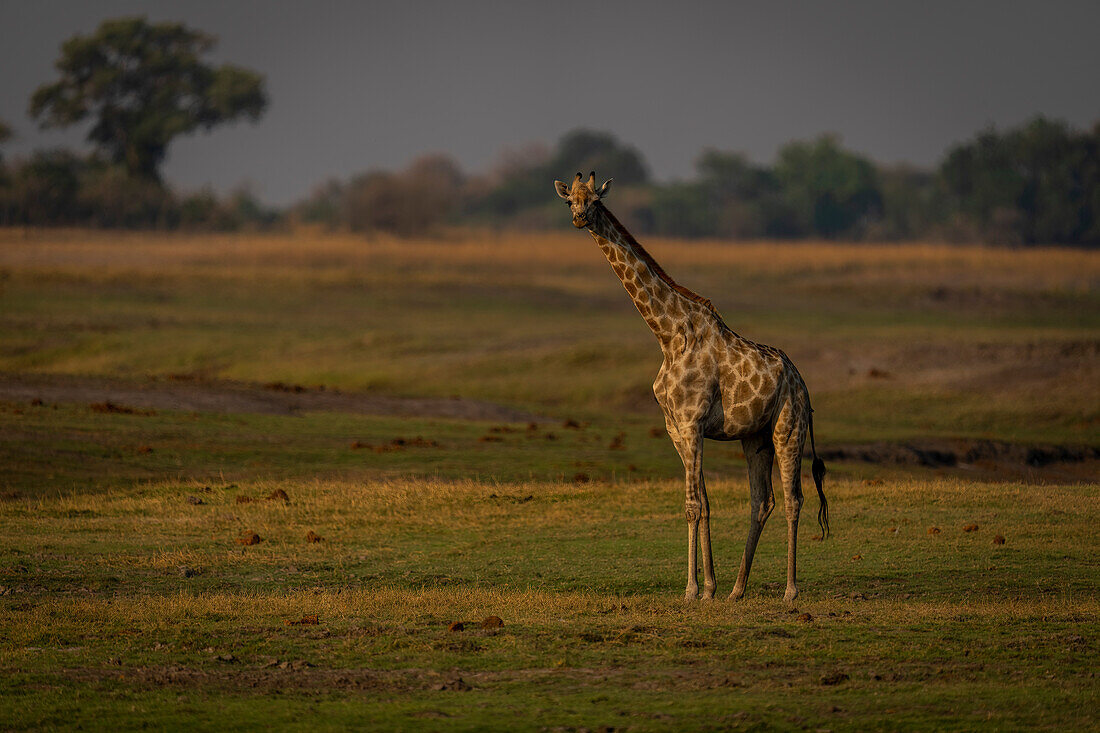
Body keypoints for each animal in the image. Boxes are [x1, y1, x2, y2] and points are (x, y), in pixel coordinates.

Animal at [554, 169, 827, 598]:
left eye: (595, 200)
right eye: (570, 200)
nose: (580, 217)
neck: (668, 336)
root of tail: (802, 383)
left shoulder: (692, 421)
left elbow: (694, 505)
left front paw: (691, 590)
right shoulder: (675, 426)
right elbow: (702, 502)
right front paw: (710, 587)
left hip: (789, 427)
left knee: (792, 499)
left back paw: (790, 590)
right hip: (755, 436)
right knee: (761, 501)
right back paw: (738, 589)